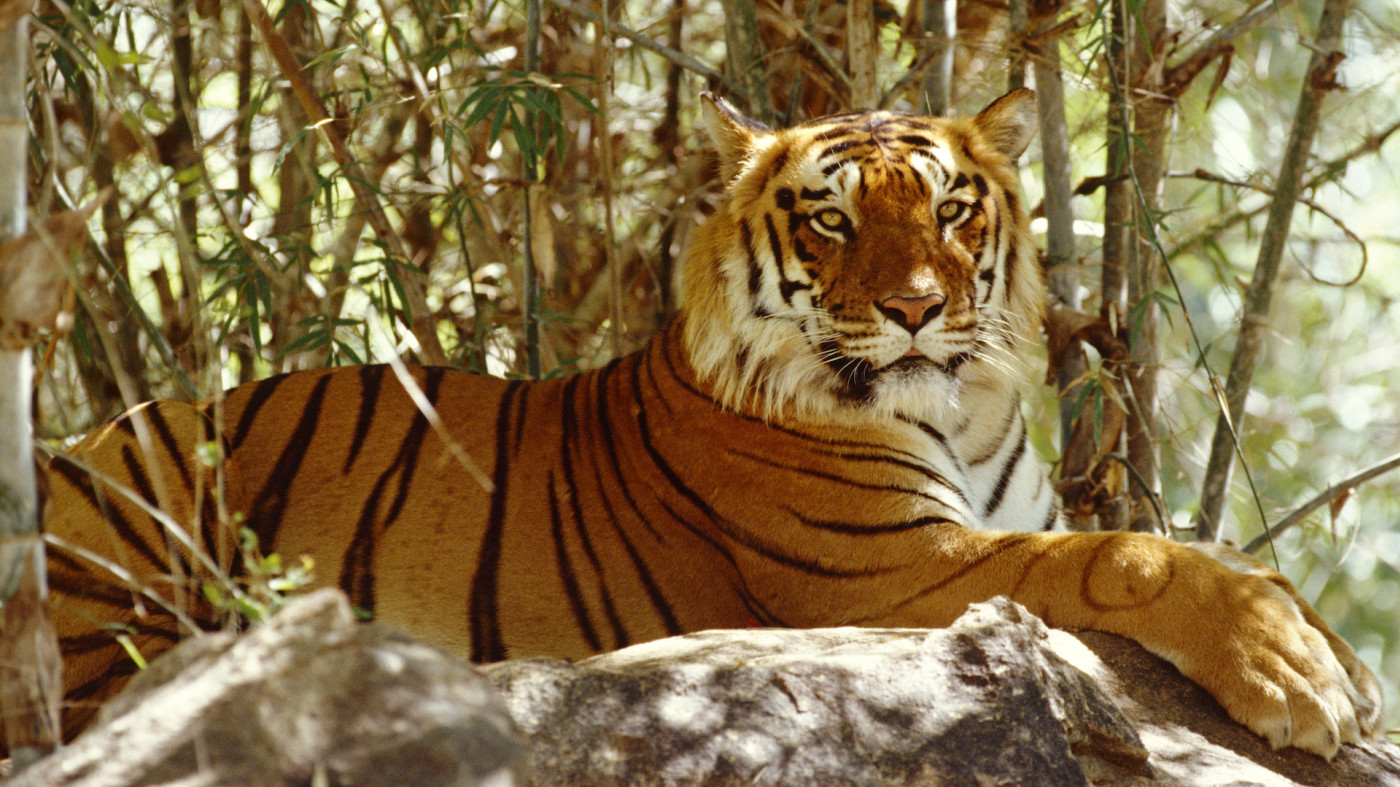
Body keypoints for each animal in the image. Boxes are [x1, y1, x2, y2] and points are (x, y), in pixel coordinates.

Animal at [37, 88, 1382, 758]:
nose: (914, 309)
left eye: (949, 208)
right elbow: (1129, 554)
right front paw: (1305, 669)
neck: (965, 411)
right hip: (137, 503)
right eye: (833, 220)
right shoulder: (885, 572)